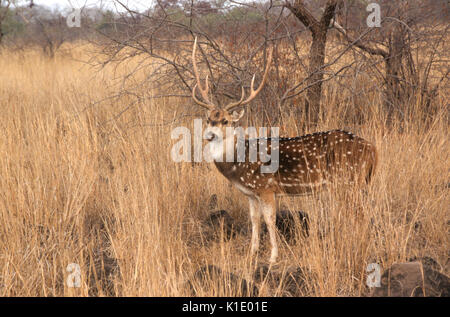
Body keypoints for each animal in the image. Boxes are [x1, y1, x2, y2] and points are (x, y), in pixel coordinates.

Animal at [192, 38, 378, 262]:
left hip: (348, 181)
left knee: (360, 213)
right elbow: (254, 219)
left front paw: (273, 256)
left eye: (226, 121)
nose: (209, 135)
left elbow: (269, 219)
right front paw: (252, 252)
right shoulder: (251, 193)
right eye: (208, 119)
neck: (239, 164)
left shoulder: (266, 187)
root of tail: (373, 150)